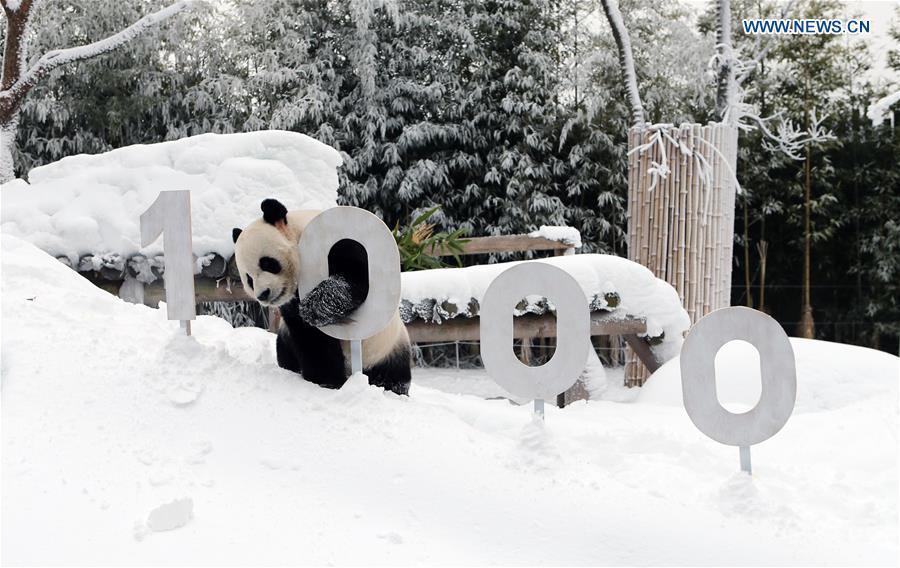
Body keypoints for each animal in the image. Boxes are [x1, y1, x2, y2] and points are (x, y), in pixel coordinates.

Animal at [234, 200, 414, 394]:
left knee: (393, 372)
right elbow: (310, 337)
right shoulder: (290, 308)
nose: (263, 294)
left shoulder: (341, 245)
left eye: (267, 263)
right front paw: (326, 380)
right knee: (284, 352)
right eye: (249, 279)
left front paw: (315, 308)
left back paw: (390, 386)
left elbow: (353, 276)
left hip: (388, 347)